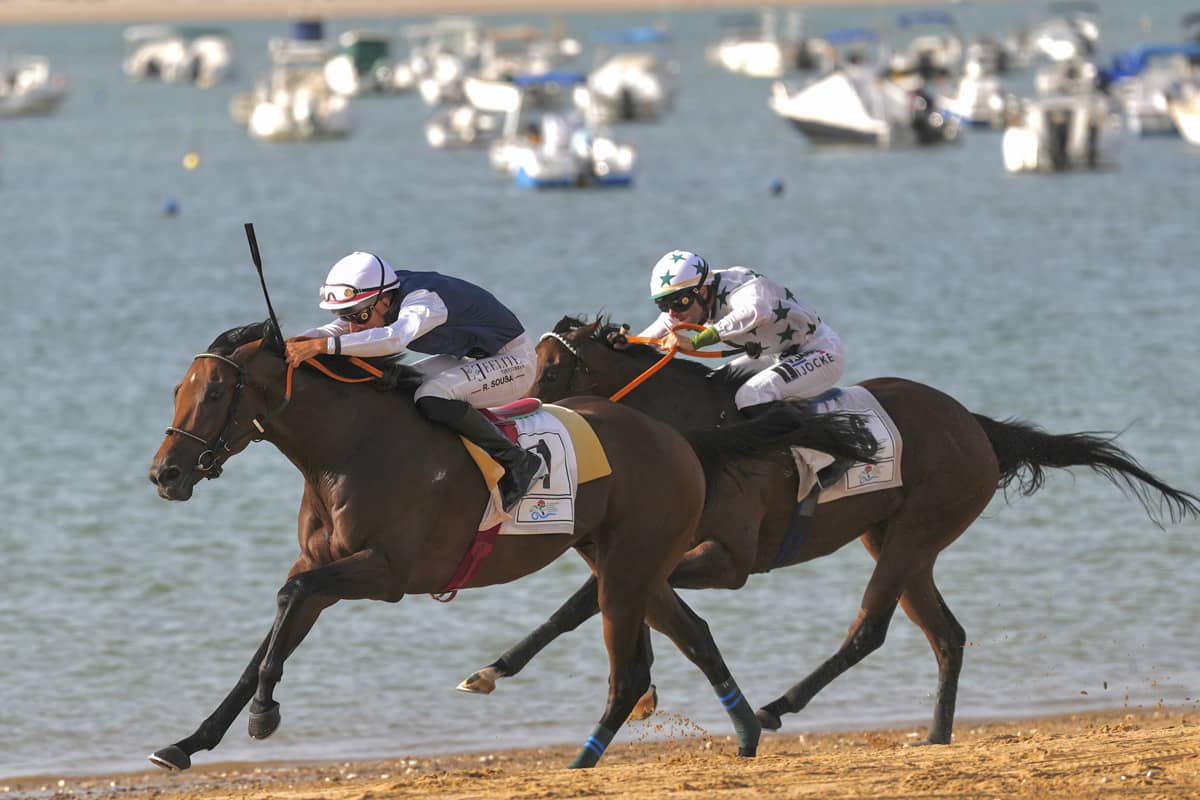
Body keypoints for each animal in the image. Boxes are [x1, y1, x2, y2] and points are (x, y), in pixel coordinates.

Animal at [145, 320, 879, 770]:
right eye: (177, 388)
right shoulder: (327, 564)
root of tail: (681, 437)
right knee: (692, 634)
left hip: (628, 568)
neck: (351, 447)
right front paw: (187, 743)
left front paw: (264, 715)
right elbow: (271, 632)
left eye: (215, 390)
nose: (165, 474)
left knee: (628, 671)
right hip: (629, 562)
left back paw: (581, 761)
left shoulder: (384, 573)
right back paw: (747, 733)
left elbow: (289, 599)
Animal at [459, 314, 1200, 745]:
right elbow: (586, 605)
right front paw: (497, 670)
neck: (704, 435)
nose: (519, 414)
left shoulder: (728, 560)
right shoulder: (655, 546)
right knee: (947, 635)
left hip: (917, 531)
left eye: (556, 364)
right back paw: (935, 737)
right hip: (898, 539)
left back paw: (775, 707)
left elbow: (596, 600)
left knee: (869, 630)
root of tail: (974, 424)